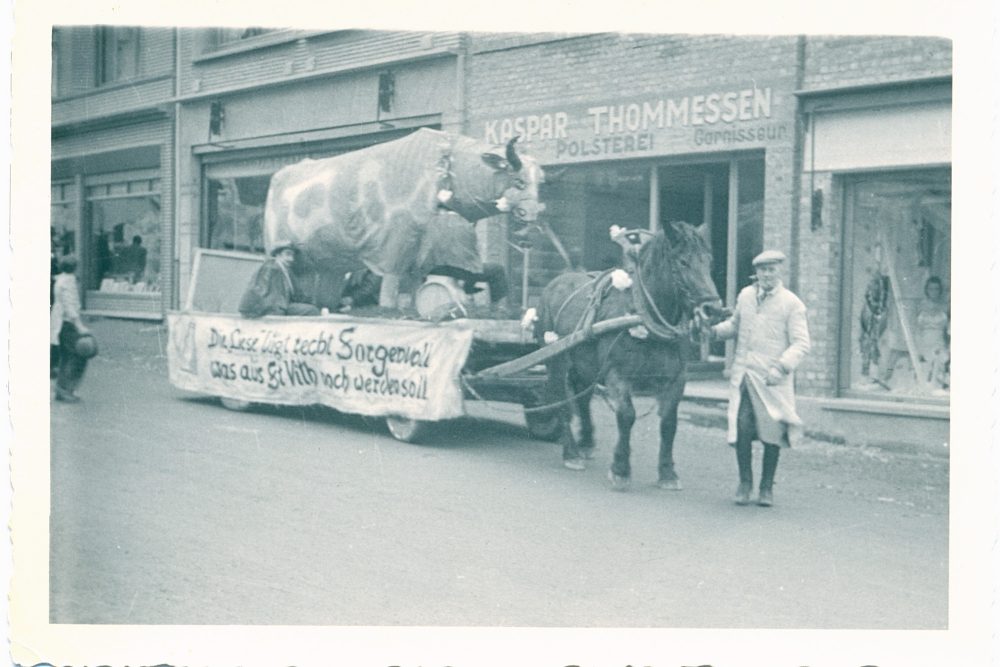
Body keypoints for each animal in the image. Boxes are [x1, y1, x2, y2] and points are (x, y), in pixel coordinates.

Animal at [536, 224, 724, 490]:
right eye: (683, 262)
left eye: (709, 261)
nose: (714, 310)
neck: (643, 316)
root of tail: (556, 282)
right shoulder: (618, 374)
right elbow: (626, 415)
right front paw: (621, 469)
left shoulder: (677, 378)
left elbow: (669, 422)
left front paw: (668, 473)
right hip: (556, 360)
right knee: (562, 400)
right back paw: (571, 452)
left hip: (584, 365)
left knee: (582, 398)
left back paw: (586, 442)